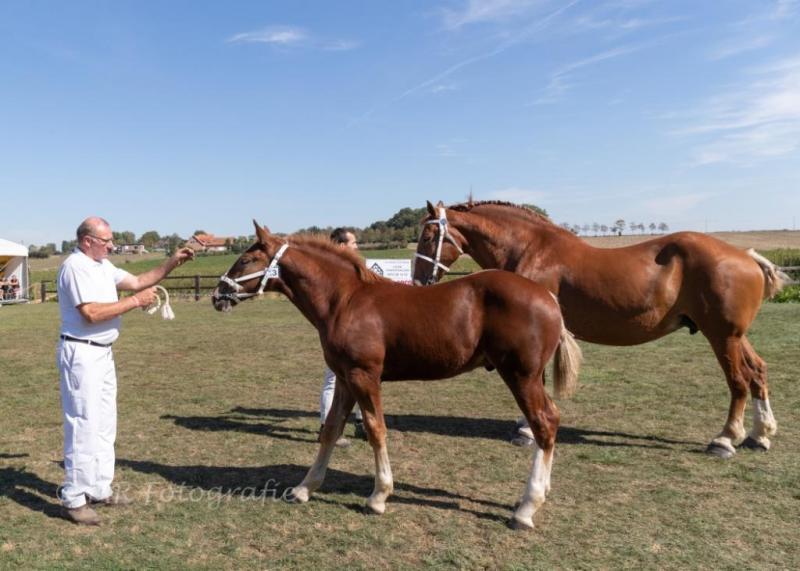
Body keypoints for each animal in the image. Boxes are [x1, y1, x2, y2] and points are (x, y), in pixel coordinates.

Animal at [212, 221, 580, 528]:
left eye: (246, 260)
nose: (218, 295)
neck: (344, 301)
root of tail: (548, 297)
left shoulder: (364, 377)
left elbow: (376, 430)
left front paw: (378, 496)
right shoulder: (345, 379)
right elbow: (330, 430)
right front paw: (304, 488)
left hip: (521, 376)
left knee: (544, 423)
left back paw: (526, 508)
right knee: (552, 420)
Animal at [418, 201, 788, 460]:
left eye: (429, 236)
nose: (421, 280)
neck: (532, 249)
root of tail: (746, 256)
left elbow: (537, 381)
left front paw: (526, 430)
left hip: (722, 337)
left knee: (738, 381)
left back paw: (725, 439)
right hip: (735, 336)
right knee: (758, 371)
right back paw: (760, 434)